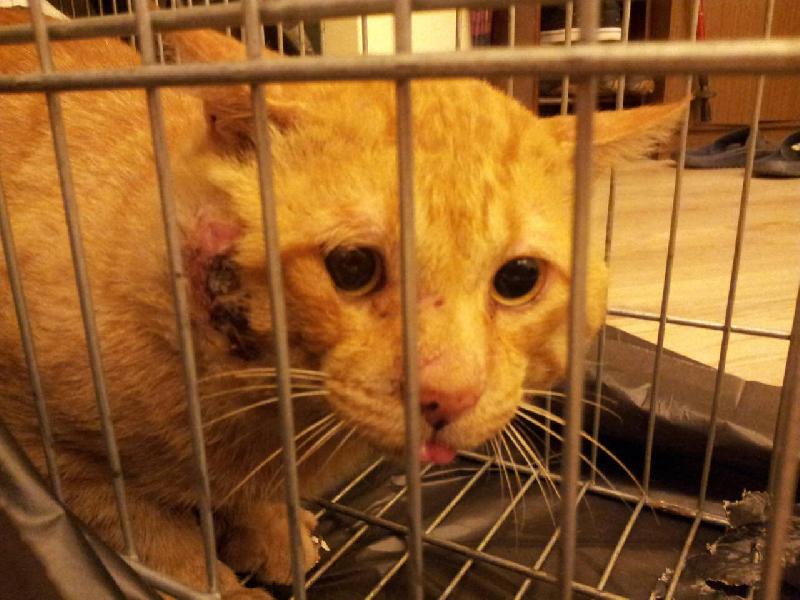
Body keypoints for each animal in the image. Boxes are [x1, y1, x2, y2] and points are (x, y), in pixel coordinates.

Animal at [0, 8, 685, 598]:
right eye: (352, 267)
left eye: (518, 278)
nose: (447, 394)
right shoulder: (65, 462)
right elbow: (168, 555)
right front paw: (227, 583)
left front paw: (272, 533)